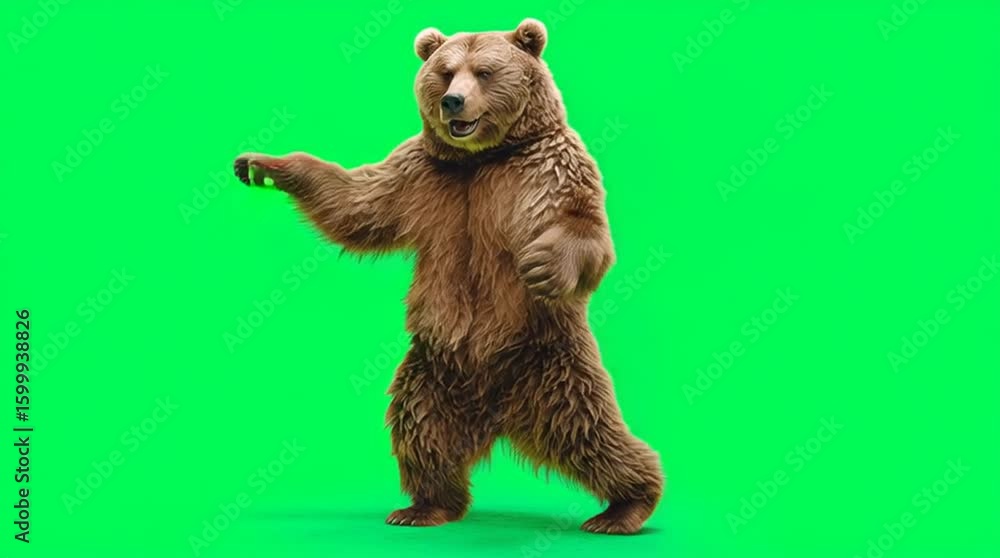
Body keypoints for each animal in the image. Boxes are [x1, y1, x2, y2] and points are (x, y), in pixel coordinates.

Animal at [233, 18, 664, 535]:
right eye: (444, 72)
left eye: (484, 71)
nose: (453, 101)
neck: (482, 158)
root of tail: (497, 414)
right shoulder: (422, 176)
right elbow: (357, 205)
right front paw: (263, 165)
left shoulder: (546, 169)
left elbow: (583, 226)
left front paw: (543, 264)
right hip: (433, 372)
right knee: (419, 429)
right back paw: (425, 506)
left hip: (551, 363)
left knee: (590, 432)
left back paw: (625, 506)